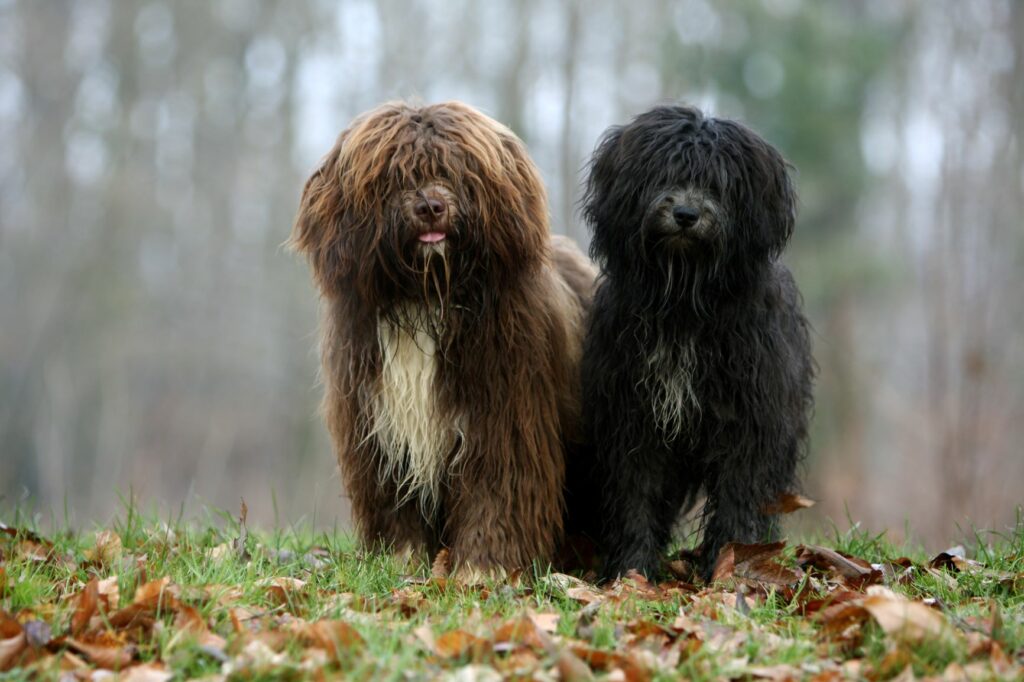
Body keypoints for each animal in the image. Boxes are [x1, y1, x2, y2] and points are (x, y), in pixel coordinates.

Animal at [288, 99, 598, 569]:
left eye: (453, 170)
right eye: (396, 175)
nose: (431, 206)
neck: (427, 295)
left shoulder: (502, 417)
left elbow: (495, 492)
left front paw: (483, 566)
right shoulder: (382, 425)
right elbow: (394, 502)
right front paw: (400, 559)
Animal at [581, 103, 811, 577]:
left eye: (718, 183)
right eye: (664, 174)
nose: (686, 214)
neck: (684, 305)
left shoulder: (750, 420)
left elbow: (740, 496)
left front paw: (732, 564)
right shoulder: (634, 419)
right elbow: (636, 493)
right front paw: (633, 569)